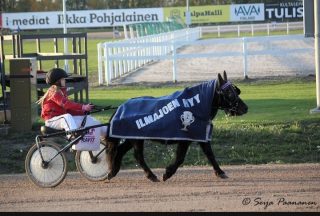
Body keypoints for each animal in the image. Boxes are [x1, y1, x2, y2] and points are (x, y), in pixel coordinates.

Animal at [105, 71, 248, 181]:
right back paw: (151, 175)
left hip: (132, 137)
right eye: (229, 93)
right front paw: (167, 173)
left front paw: (220, 172)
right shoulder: (185, 138)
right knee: (138, 156)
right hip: (136, 139)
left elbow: (209, 154)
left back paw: (113, 171)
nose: (245, 108)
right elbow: (180, 158)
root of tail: (121, 107)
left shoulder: (200, 135)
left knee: (120, 150)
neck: (196, 105)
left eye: (236, 91)